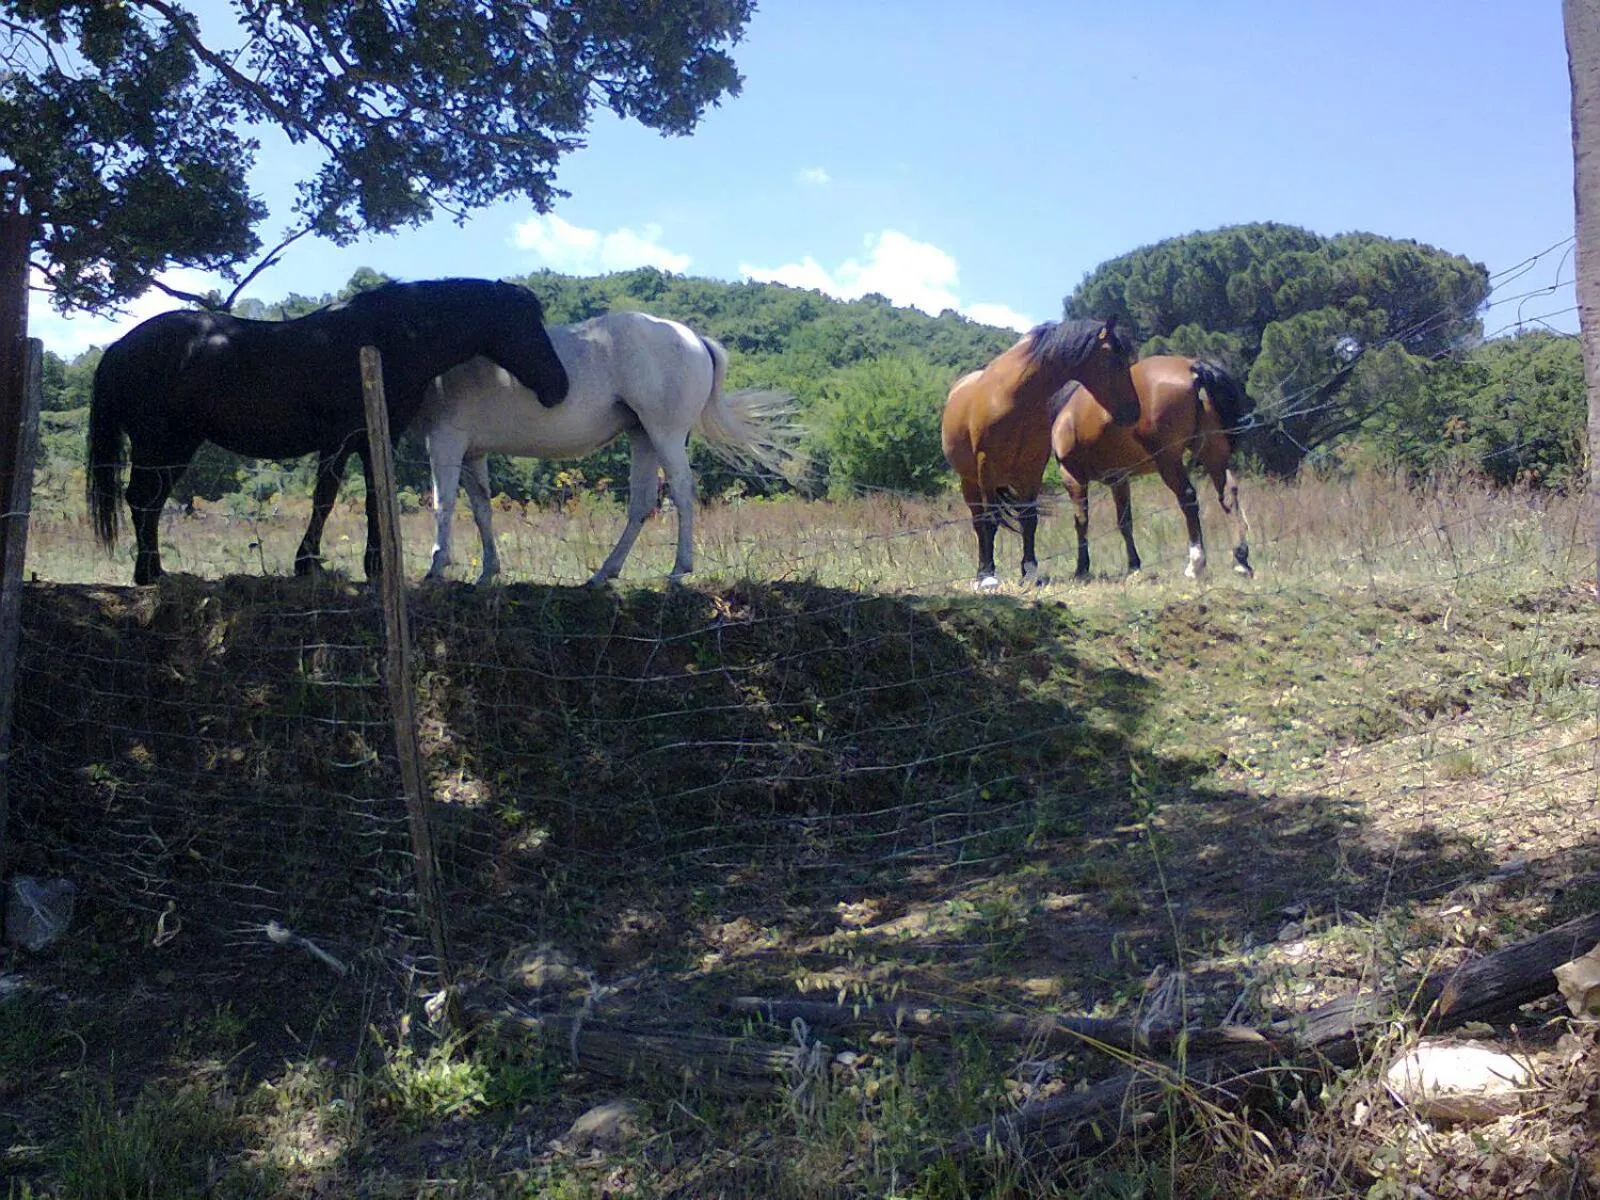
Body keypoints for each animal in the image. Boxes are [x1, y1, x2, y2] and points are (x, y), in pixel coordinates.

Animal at [87, 277, 570, 585]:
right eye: (527, 324)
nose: (559, 387)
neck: (387, 339)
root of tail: (119, 348)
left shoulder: (374, 439)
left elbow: (375, 499)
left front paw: (376, 566)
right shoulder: (339, 439)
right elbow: (326, 497)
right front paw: (309, 563)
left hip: (176, 447)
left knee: (149, 501)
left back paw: (154, 571)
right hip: (160, 444)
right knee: (143, 500)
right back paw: (148, 574)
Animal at [417, 309, 796, 586]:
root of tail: (693, 338)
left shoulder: (445, 440)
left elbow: (443, 503)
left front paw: (437, 566)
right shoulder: (472, 453)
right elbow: (481, 508)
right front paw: (487, 572)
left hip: (666, 435)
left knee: (682, 492)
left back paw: (678, 570)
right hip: (643, 438)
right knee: (642, 502)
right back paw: (603, 573)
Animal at [940, 316, 1140, 588]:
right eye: (1115, 361)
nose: (1134, 412)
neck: (1015, 399)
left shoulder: (1032, 469)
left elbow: (1029, 519)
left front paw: (1030, 571)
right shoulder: (986, 467)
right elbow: (990, 522)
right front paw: (989, 576)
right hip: (969, 481)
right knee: (979, 522)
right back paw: (982, 572)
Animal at [1051, 355, 1254, 580]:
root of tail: (1192, 367)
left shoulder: (1072, 476)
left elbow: (1081, 522)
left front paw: (1081, 569)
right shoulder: (1118, 478)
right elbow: (1125, 522)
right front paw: (1133, 565)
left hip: (1168, 461)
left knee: (1188, 498)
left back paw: (1195, 564)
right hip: (1213, 451)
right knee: (1228, 494)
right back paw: (1241, 560)